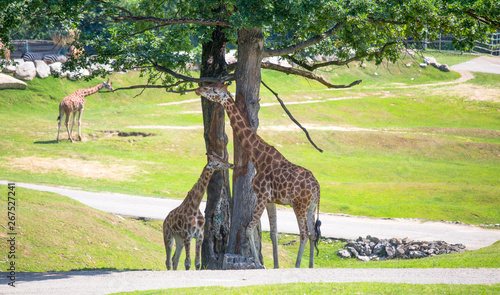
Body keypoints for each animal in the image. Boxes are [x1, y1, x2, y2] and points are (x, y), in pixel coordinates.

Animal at [195, 82, 320, 270]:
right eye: (210, 86)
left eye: (214, 90)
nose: (198, 90)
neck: (258, 157)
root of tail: (317, 187)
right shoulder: (270, 200)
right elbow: (273, 233)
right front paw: (274, 265)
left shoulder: (261, 195)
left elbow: (248, 229)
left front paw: (259, 264)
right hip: (311, 205)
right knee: (312, 233)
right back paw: (311, 266)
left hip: (299, 204)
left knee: (304, 233)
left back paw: (298, 266)